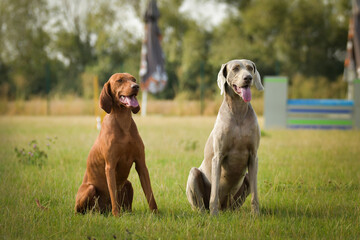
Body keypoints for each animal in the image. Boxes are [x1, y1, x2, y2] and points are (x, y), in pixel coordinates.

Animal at [74, 72, 158, 216]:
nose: (136, 86)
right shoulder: (110, 166)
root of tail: (104, 210)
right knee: (82, 209)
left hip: (128, 184)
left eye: (134, 79)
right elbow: (113, 195)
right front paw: (117, 216)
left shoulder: (141, 164)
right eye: (119, 80)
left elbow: (150, 194)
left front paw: (156, 214)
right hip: (89, 189)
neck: (123, 123)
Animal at [187, 58, 262, 216]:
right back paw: (206, 213)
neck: (238, 110)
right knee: (200, 203)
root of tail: (225, 208)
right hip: (193, 174)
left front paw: (256, 215)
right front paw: (213, 215)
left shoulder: (253, 156)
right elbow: (214, 192)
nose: (248, 78)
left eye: (250, 68)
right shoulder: (218, 156)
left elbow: (255, 194)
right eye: (235, 68)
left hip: (241, 187)